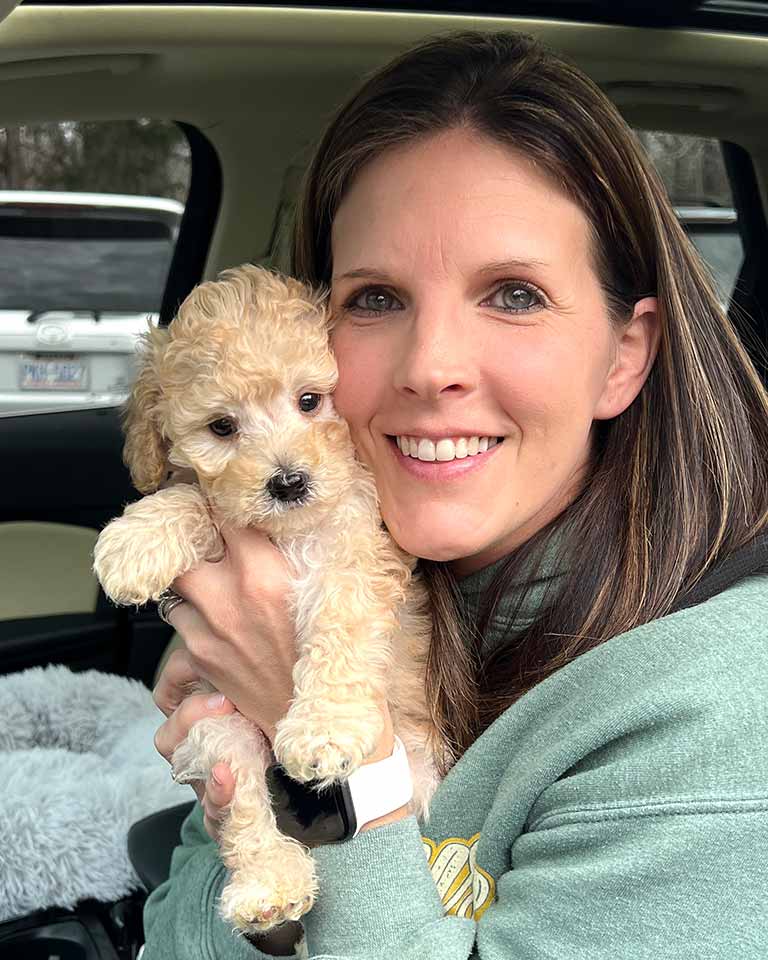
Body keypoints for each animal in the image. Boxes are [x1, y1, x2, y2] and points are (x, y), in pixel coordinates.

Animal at [92, 266, 438, 932]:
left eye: (310, 401)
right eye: (222, 427)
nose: (288, 482)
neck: (290, 532)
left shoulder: (358, 555)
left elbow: (340, 626)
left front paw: (324, 729)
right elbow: (197, 498)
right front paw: (136, 542)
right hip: (218, 725)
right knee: (245, 804)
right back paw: (269, 884)